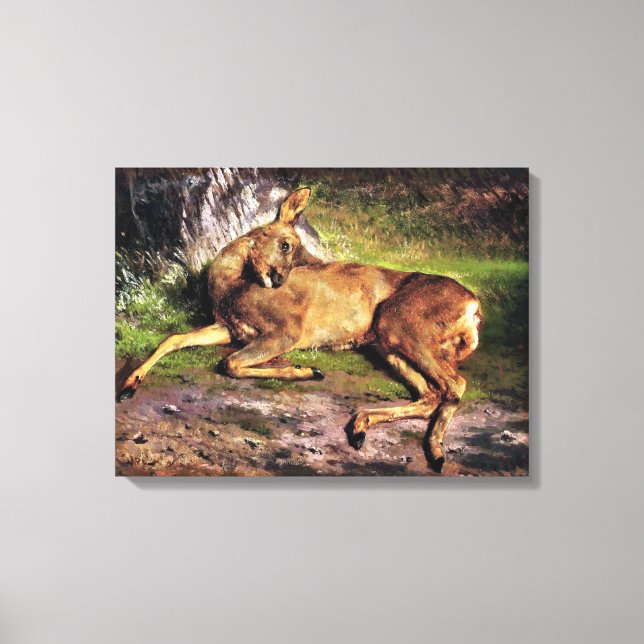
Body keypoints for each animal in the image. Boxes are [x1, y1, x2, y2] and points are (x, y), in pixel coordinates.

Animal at [118, 188, 482, 472]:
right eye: (286, 245)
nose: (278, 279)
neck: (232, 288)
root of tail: (474, 307)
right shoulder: (230, 327)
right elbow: (175, 338)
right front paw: (128, 386)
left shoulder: (286, 331)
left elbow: (230, 363)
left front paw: (304, 370)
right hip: (386, 343)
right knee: (430, 392)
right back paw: (360, 427)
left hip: (403, 323)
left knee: (455, 384)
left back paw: (435, 453)